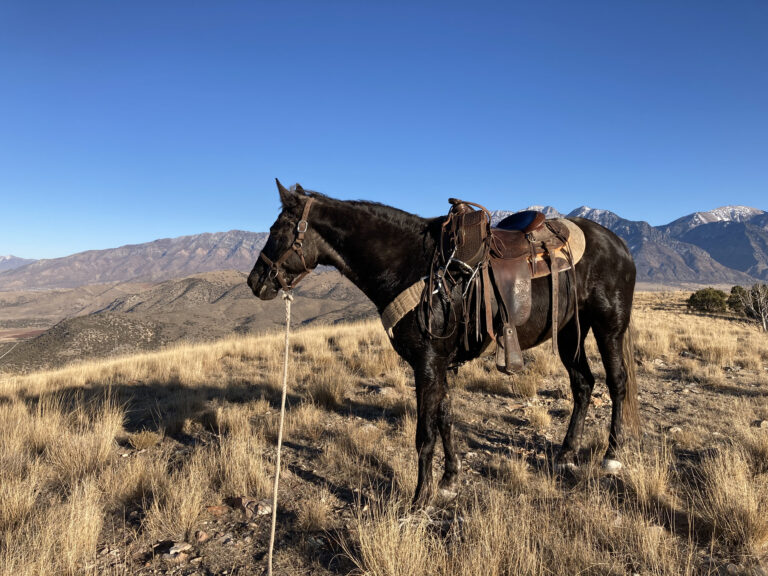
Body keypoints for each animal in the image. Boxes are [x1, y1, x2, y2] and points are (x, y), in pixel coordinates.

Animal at [249, 179, 640, 504]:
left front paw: (419, 500)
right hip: (570, 330)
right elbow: (445, 418)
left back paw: (611, 456)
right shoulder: (441, 363)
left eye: (276, 230)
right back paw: (566, 454)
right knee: (583, 383)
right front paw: (449, 480)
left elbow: (425, 434)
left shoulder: (426, 362)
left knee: (617, 383)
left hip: (608, 326)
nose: (255, 281)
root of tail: (620, 244)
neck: (411, 265)